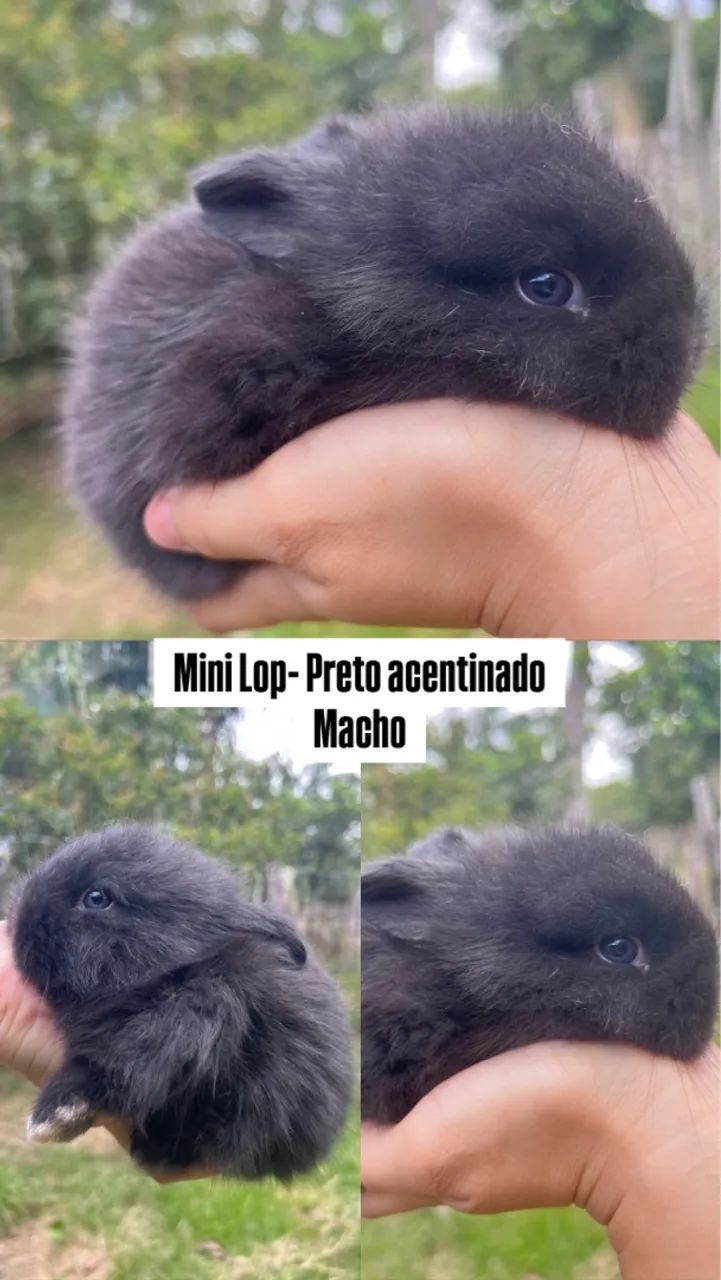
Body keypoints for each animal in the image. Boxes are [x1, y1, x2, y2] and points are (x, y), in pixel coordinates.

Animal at [9, 823, 354, 1178]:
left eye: (96, 898)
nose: (20, 923)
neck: (169, 971)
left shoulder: (185, 1021)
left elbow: (113, 1069)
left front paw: (51, 1119)